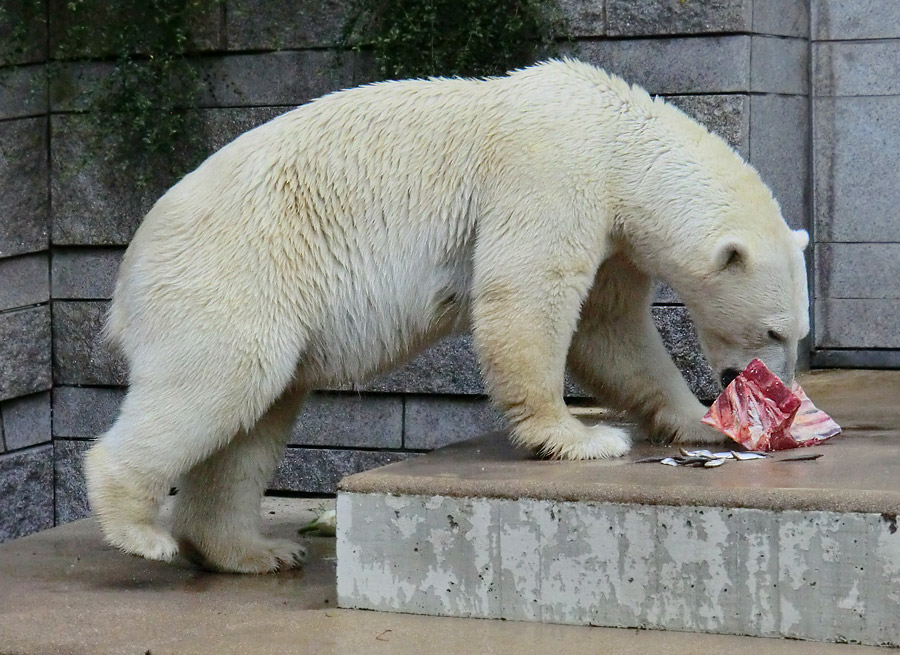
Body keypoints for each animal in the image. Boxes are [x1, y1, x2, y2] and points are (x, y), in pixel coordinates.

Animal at [84, 61, 808, 576]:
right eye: (774, 331)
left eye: (798, 334)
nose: (781, 391)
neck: (619, 138)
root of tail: (126, 274)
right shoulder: (551, 172)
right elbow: (528, 293)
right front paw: (581, 437)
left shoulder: (612, 234)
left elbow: (612, 332)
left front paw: (700, 420)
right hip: (235, 275)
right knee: (222, 383)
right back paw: (140, 529)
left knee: (253, 421)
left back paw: (254, 551)